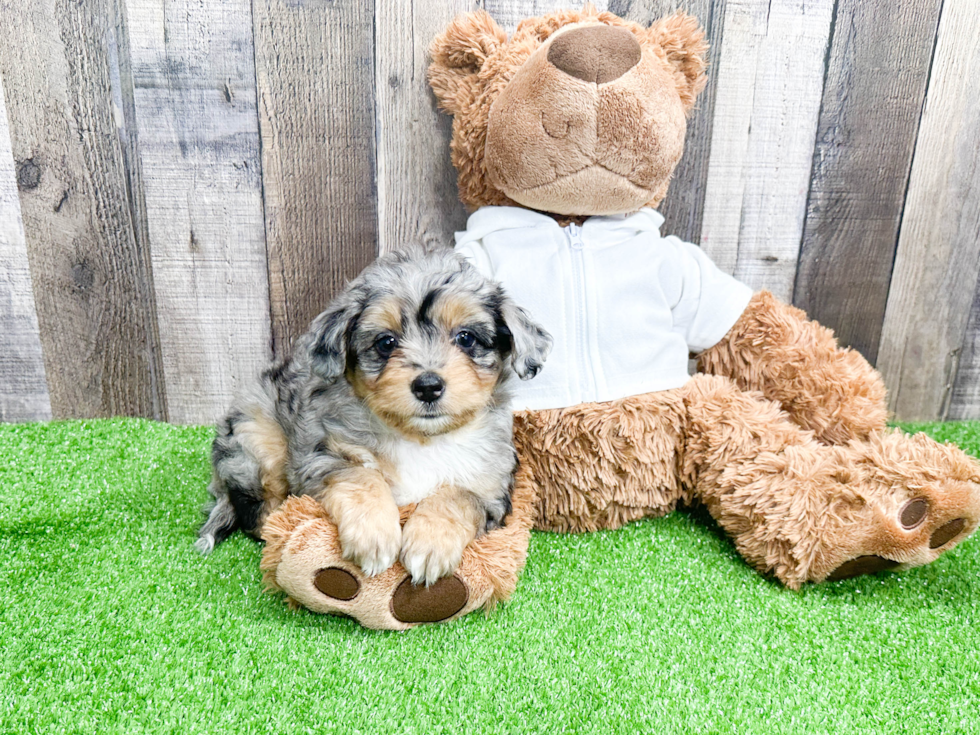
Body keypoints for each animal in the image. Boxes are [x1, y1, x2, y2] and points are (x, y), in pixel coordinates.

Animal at [197, 247, 552, 588]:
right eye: (386, 342)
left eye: (466, 338)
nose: (428, 386)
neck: (421, 439)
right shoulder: (320, 455)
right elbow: (361, 477)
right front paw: (374, 535)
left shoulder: (492, 485)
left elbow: (458, 495)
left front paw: (431, 543)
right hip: (256, 439)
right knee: (254, 512)